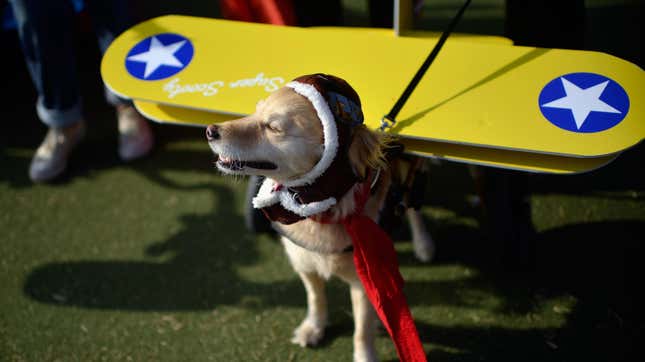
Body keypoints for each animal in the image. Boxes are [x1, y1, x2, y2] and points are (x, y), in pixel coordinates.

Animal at [206, 74, 432, 362]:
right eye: (255, 111)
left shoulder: (364, 283)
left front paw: (364, 356)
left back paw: (424, 244)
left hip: (413, 174)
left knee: (414, 207)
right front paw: (313, 328)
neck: (318, 212)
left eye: (273, 127)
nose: (209, 130)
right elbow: (316, 299)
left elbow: (362, 329)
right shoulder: (304, 263)